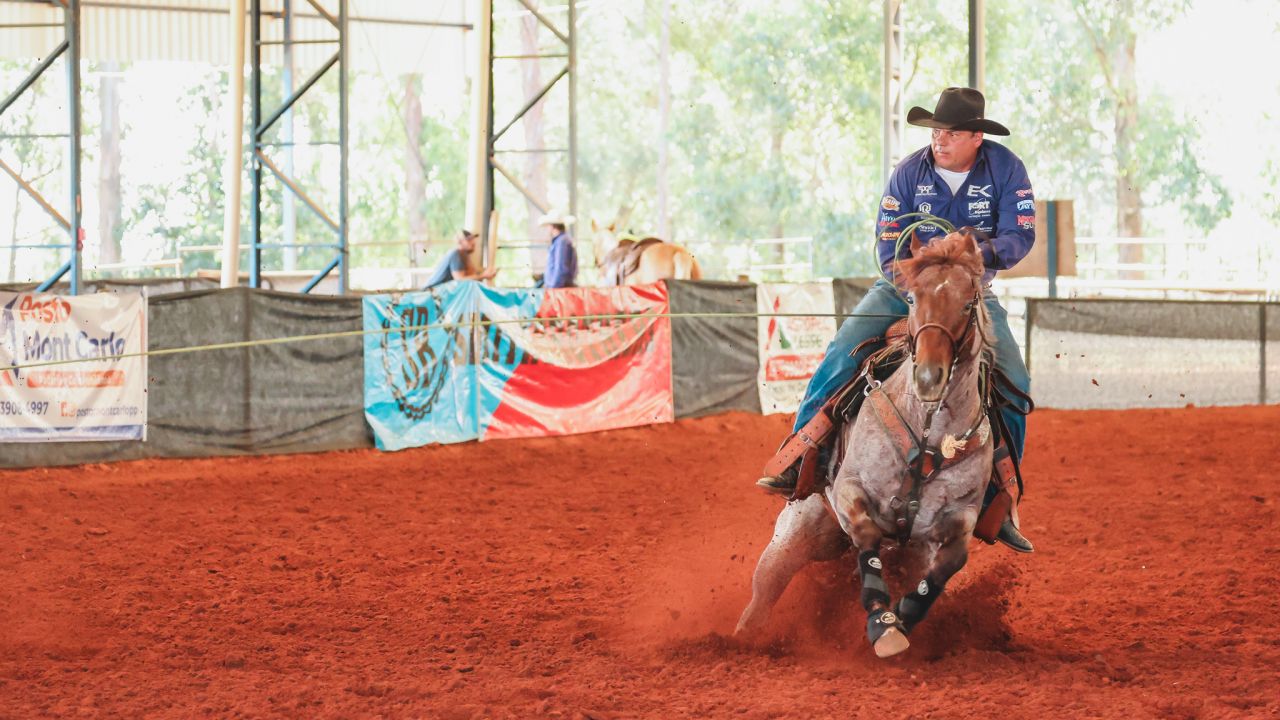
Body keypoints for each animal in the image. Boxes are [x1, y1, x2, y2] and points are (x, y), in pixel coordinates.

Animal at [737, 229, 993, 655]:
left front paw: (903, 614)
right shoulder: (849, 490)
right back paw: (740, 639)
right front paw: (882, 622)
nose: (929, 377)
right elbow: (868, 535)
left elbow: (947, 566)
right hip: (794, 533)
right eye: (913, 298)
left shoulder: (957, 519)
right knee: (766, 587)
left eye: (969, 301)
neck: (927, 433)